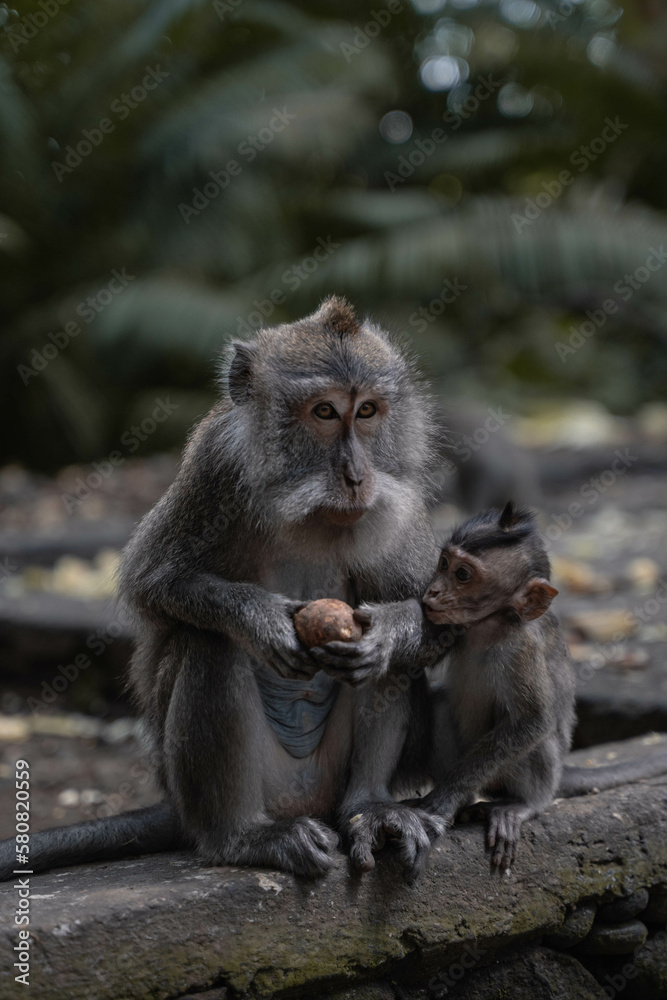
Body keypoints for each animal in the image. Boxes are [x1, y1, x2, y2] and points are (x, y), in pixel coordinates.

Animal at [0, 296, 448, 883]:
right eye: (325, 412)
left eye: (368, 411)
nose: (356, 476)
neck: (308, 506)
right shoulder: (214, 465)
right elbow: (152, 580)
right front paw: (260, 619)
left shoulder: (398, 495)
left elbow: (439, 622)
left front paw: (388, 634)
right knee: (210, 645)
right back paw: (242, 837)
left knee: (388, 673)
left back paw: (369, 808)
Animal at [415, 501, 667, 869]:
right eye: (443, 563)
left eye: (462, 575)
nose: (432, 591)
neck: (490, 626)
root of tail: (560, 773)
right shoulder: (456, 628)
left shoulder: (523, 649)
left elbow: (533, 721)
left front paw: (444, 799)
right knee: (439, 704)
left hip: (538, 774)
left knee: (533, 740)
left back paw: (519, 805)